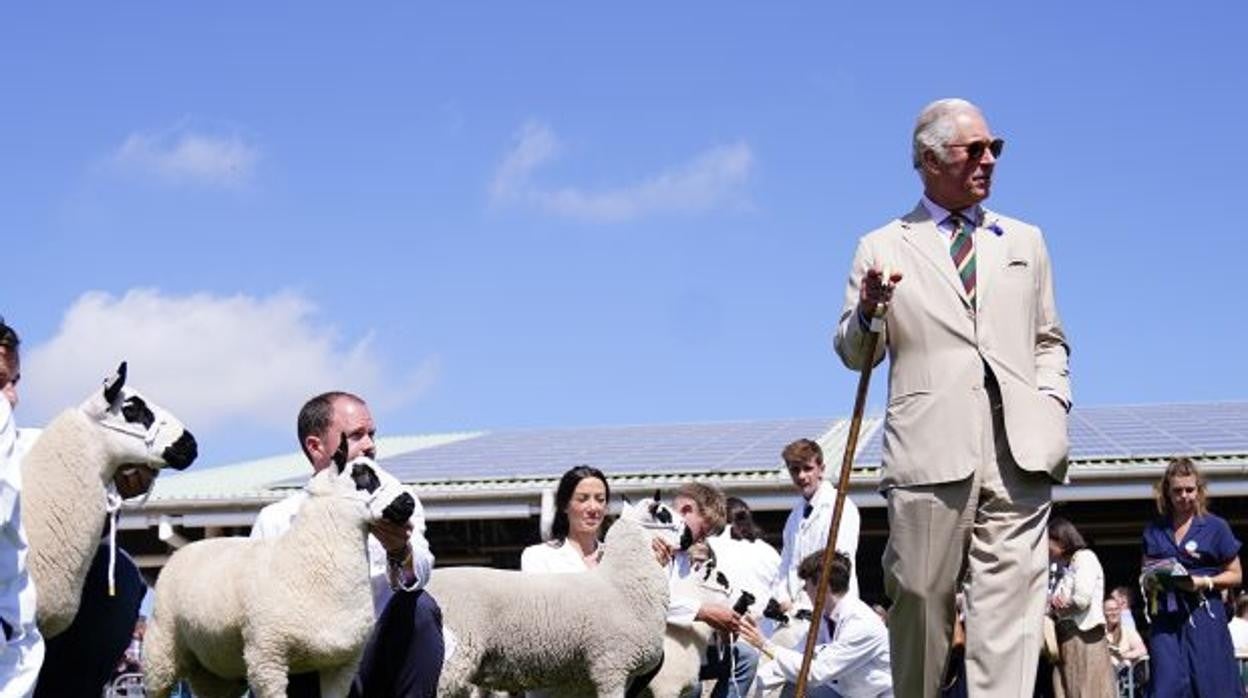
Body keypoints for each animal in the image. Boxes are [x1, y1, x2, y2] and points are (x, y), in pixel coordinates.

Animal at [141, 447, 414, 698]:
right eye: (363, 475)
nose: (409, 502)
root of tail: (183, 551)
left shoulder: (342, 664)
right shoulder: (267, 657)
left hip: (214, 670)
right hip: (161, 650)